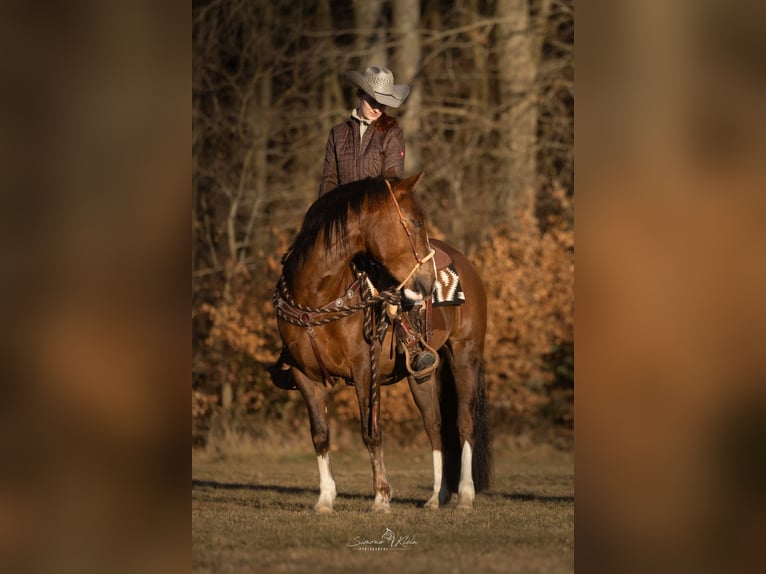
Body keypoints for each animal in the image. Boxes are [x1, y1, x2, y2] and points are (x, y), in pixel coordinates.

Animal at [274, 172, 492, 512]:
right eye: (415, 222)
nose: (428, 281)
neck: (318, 293)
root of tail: (467, 266)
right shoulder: (304, 374)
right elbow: (320, 434)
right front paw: (325, 498)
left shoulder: (365, 369)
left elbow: (371, 433)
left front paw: (381, 497)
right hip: (423, 375)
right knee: (435, 425)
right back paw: (436, 496)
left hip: (465, 354)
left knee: (465, 423)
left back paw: (465, 496)